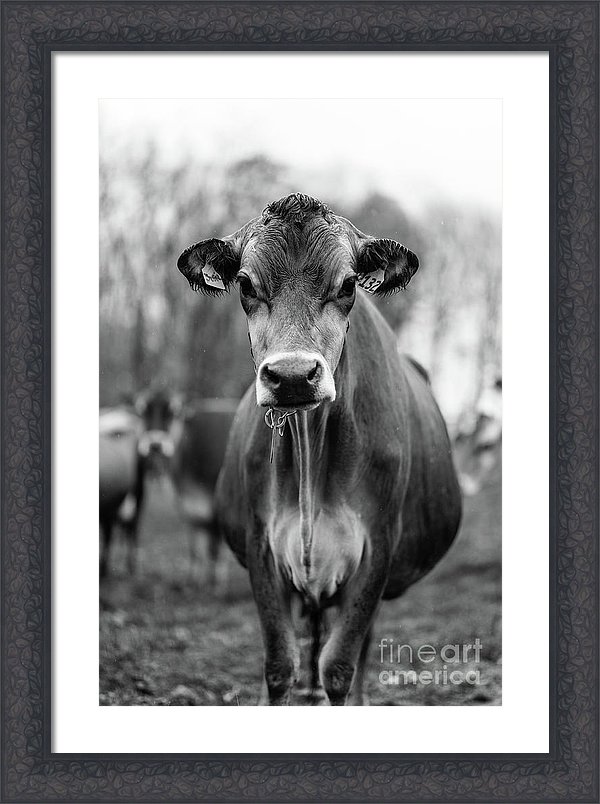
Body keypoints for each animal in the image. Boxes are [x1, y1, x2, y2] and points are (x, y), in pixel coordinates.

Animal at [136, 390, 238, 588]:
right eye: (143, 412)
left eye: (172, 412)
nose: (155, 445)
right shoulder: (188, 510)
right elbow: (194, 549)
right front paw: (192, 581)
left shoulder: (217, 511)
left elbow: (214, 550)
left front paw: (216, 583)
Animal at [177, 193, 462, 705]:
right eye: (245, 284)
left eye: (348, 284)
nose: (292, 376)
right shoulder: (262, 545)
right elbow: (278, 664)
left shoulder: (377, 548)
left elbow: (340, 665)